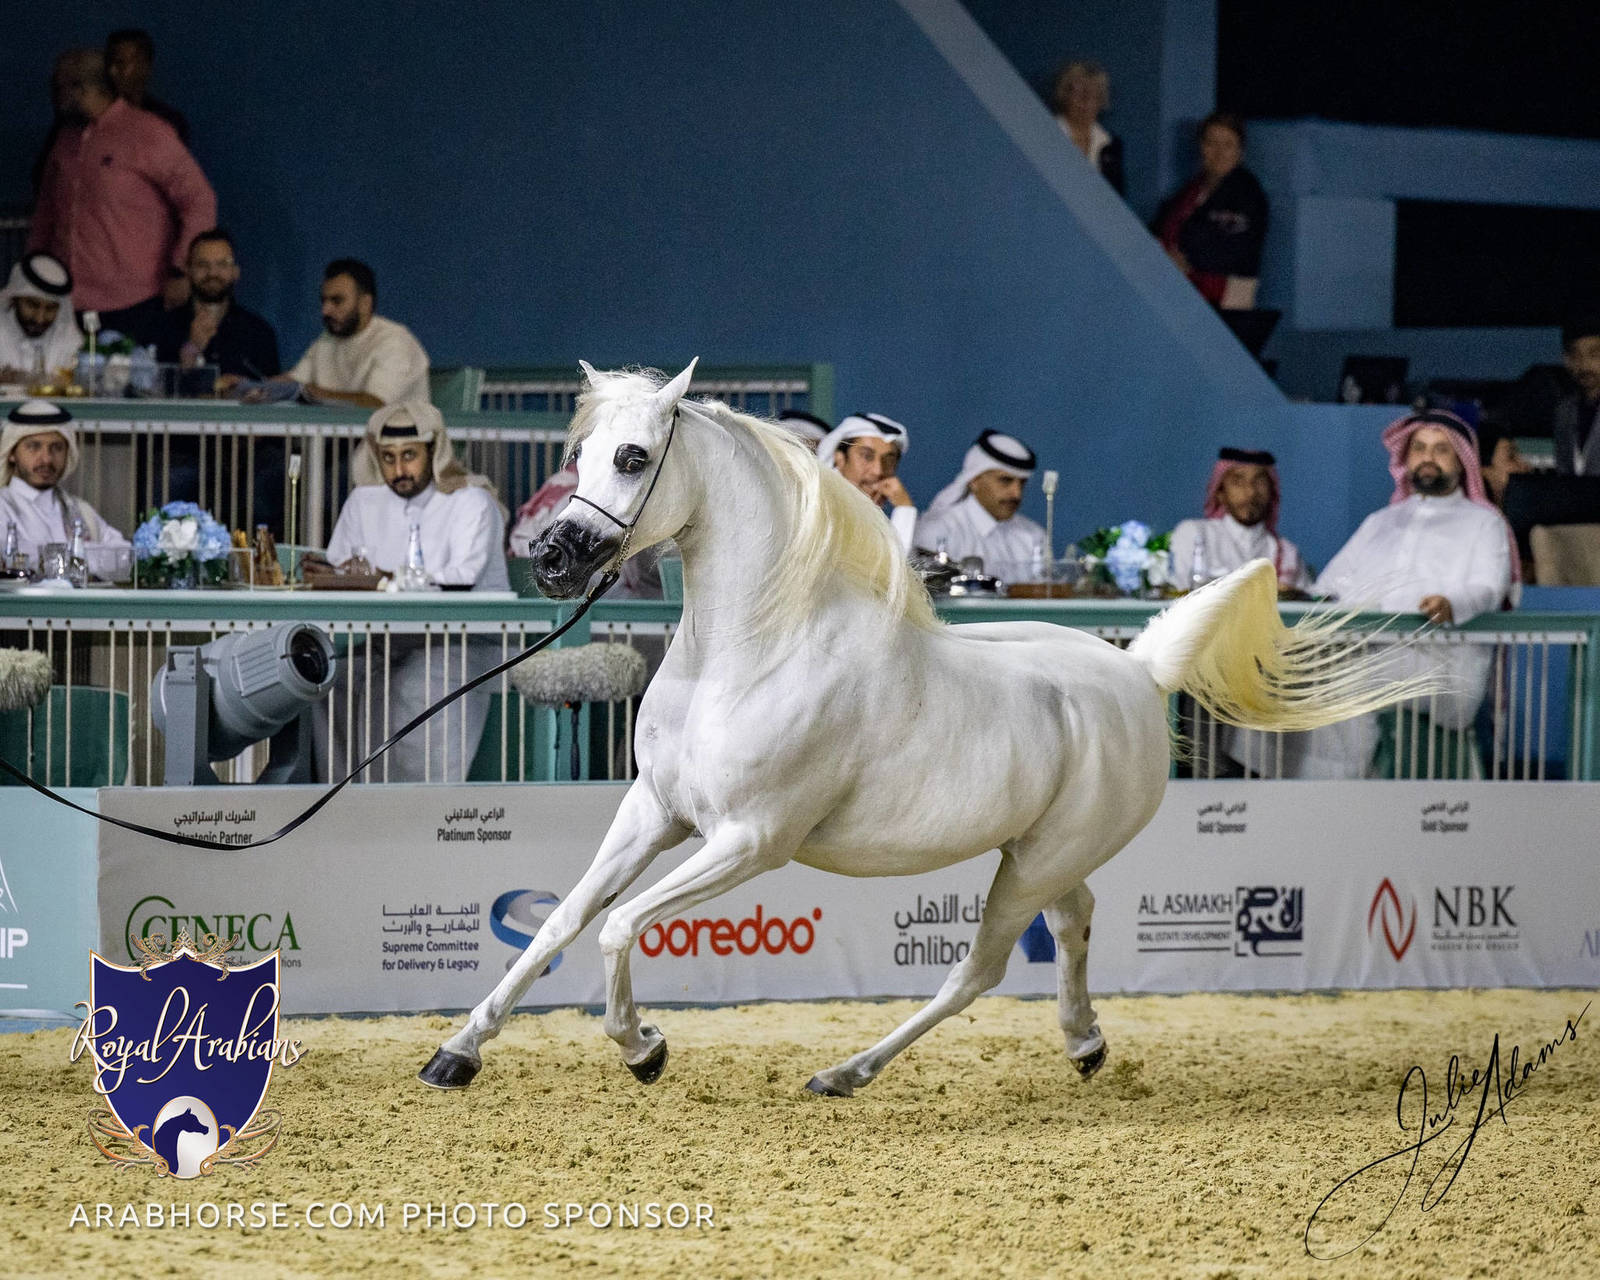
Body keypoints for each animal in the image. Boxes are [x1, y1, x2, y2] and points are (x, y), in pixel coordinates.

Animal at [420, 360, 1419, 1097]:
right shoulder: (653, 812)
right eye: (579, 450)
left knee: (976, 971)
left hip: (1031, 863)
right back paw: (1083, 1044)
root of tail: (1136, 674)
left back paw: (846, 1073)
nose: (551, 560)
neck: (746, 654)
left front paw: (644, 1048)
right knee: (1076, 921)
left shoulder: (749, 841)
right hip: (1040, 853)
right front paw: (457, 1053)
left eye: (632, 457)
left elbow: (619, 928)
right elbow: (564, 921)